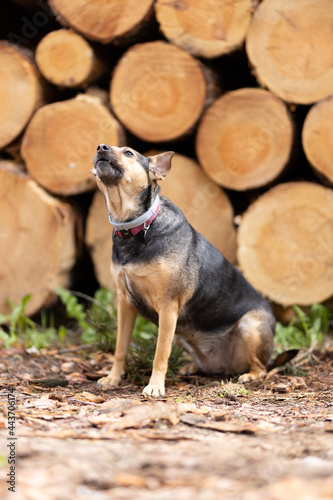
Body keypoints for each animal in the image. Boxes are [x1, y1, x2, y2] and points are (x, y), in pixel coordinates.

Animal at [91, 143, 274, 396]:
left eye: (128, 153)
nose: (101, 147)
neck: (135, 227)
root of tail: (225, 366)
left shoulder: (168, 307)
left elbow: (160, 353)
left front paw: (155, 387)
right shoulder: (125, 303)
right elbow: (120, 346)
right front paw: (113, 378)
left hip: (250, 325)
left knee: (261, 367)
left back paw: (250, 375)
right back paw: (192, 367)